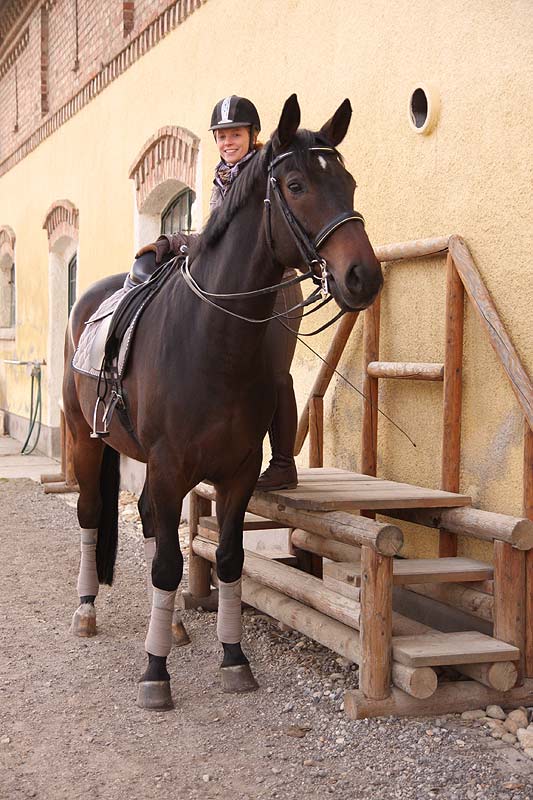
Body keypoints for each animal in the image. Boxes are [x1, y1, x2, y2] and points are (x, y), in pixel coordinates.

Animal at [63, 90, 382, 708]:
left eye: (351, 182)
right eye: (296, 185)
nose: (364, 276)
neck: (213, 340)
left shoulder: (237, 471)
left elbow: (229, 560)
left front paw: (234, 658)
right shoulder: (169, 467)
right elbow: (169, 565)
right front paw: (154, 672)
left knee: (146, 521)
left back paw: (173, 626)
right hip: (85, 440)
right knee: (93, 515)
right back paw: (87, 610)